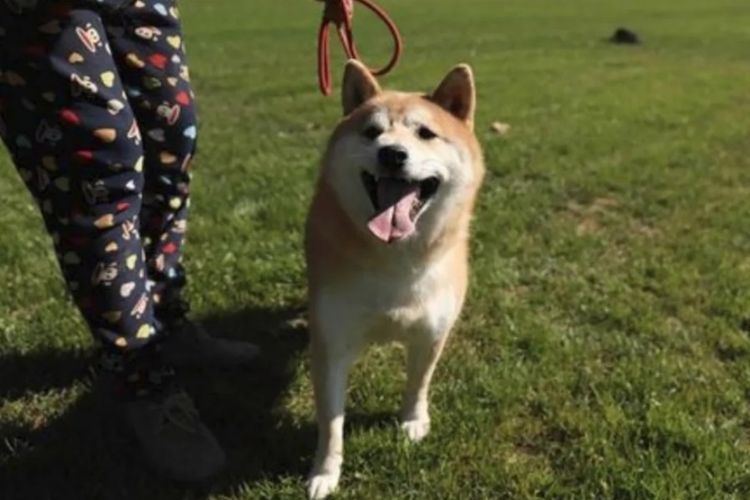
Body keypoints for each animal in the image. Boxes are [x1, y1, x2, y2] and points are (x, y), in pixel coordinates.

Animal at [306, 58, 488, 496]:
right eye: (372, 132)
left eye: (425, 133)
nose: (391, 153)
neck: (395, 259)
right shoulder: (332, 343)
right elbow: (331, 423)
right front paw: (325, 473)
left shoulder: (432, 332)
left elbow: (418, 383)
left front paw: (413, 420)